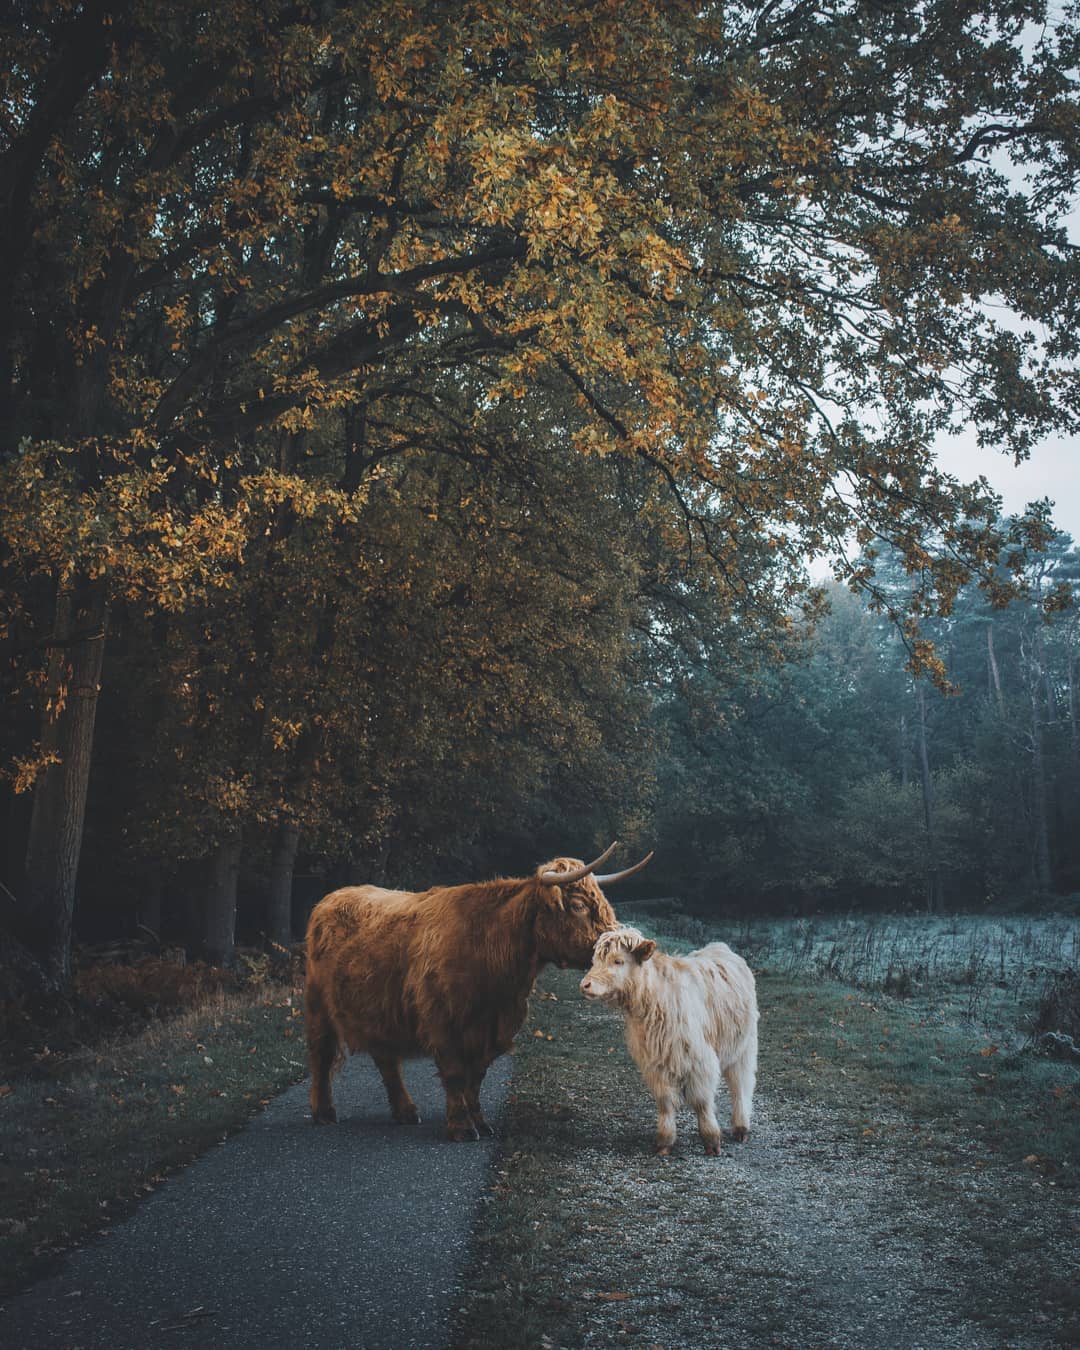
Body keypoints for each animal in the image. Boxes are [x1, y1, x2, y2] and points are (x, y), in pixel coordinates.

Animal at [303, 842, 650, 1139]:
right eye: (578, 905)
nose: (632, 945)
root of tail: (331, 898)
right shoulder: (443, 1023)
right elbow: (456, 1074)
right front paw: (461, 1127)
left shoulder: (494, 1029)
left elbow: (476, 1078)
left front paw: (480, 1122)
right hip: (318, 1007)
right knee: (321, 1055)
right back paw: (324, 1112)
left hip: (378, 1009)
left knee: (386, 1059)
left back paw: (406, 1112)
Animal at [583, 928, 761, 1161]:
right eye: (594, 960)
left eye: (618, 960)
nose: (585, 985)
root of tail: (720, 946)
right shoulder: (655, 1064)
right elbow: (665, 1102)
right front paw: (664, 1142)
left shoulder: (700, 1062)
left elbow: (702, 1102)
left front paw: (712, 1141)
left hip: (744, 1048)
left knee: (741, 1086)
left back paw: (741, 1127)